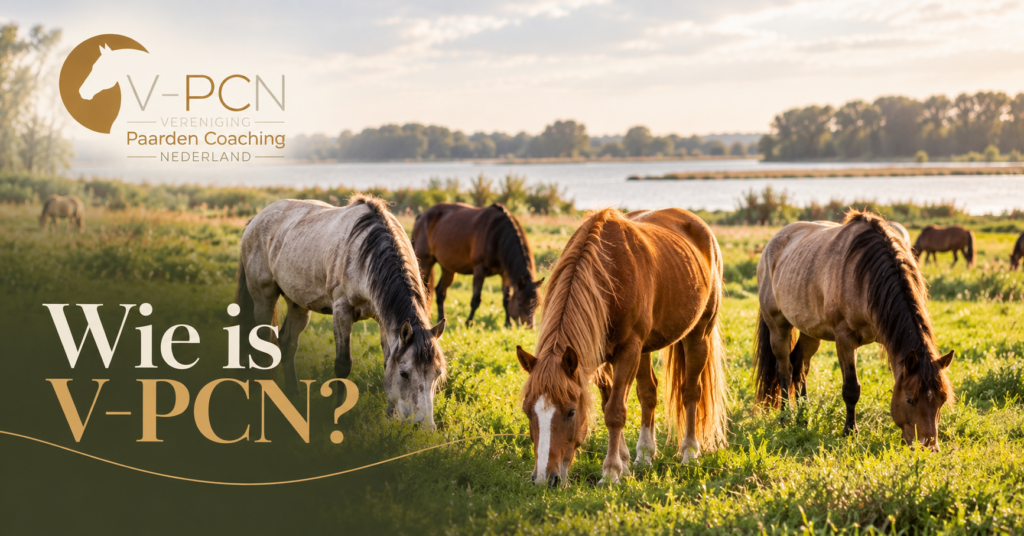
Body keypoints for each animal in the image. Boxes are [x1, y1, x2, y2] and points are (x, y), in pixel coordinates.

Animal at [236, 195, 447, 428]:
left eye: (437, 373)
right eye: (404, 373)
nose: (424, 426)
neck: (366, 254)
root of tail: (256, 219)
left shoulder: (383, 319)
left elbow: (387, 361)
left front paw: (390, 416)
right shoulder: (342, 311)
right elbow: (343, 364)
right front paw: (340, 413)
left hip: (297, 303)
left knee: (288, 343)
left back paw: (293, 395)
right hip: (263, 297)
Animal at [412, 203, 544, 328]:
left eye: (537, 304)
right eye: (520, 304)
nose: (529, 326)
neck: (496, 235)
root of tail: (422, 216)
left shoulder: (505, 274)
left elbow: (506, 299)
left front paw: (508, 323)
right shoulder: (479, 270)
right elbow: (476, 299)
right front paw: (469, 322)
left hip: (448, 268)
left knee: (440, 292)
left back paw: (441, 319)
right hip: (425, 263)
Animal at [516, 208, 728, 487]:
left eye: (571, 412)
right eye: (527, 410)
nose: (544, 478)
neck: (609, 275)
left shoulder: (628, 351)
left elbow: (615, 411)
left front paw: (610, 472)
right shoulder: (597, 356)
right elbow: (611, 403)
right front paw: (624, 463)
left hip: (698, 334)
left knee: (691, 392)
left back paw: (690, 453)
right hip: (646, 349)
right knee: (649, 393)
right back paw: (644, 455)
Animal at [754, 211, 955, 450]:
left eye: (942, 400)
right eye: (910, 399)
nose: (928, 448)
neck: (866, 277)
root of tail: (772, 244)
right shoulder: (845, 339)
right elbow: (851, 388)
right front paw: (850, 431)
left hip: (810, 332)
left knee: (800, 367)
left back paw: (803, 418)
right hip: (778, 326)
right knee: (784, 369)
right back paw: (786, 417)